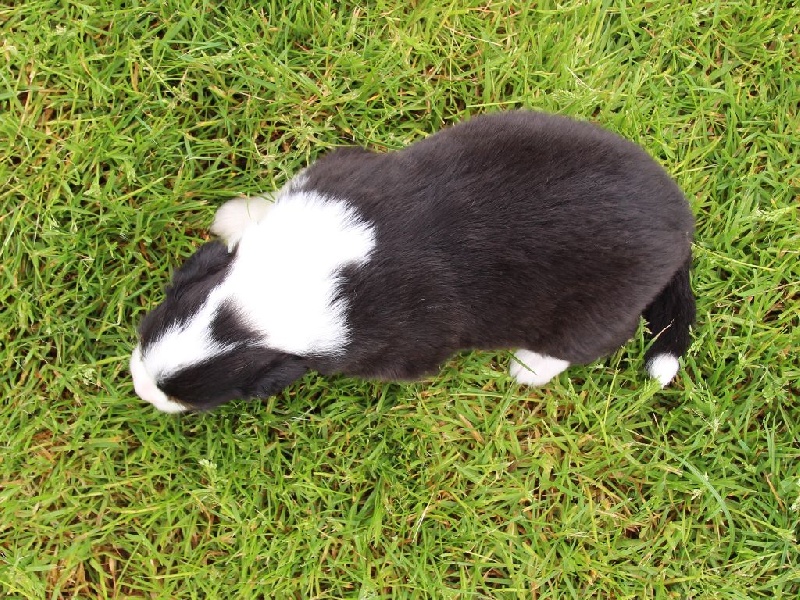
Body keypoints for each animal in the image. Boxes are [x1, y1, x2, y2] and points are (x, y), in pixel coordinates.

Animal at [130, 110, 695, 413]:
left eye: (195, 398)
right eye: (146, 324)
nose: (141, 390)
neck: (297, 274)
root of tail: (683, 227)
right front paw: (237, 217)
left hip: (593, 310)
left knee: (600, 339)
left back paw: (529, 367)